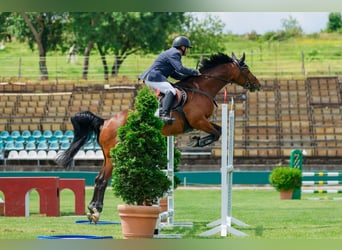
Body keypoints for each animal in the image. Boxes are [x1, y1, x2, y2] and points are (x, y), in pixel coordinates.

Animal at [54, 52, 260, 217]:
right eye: (246, 68)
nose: (257, 85)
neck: (202, 88)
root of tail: (105, 122)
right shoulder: (198, 121)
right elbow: (217, 131)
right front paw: (198, 142)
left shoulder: (201, 122)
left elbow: (218, 130)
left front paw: (197, 141)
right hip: (114, 155)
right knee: (103, 180)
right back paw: (96, 210)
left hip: (107, 155)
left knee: (98, 179)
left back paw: (92, 209)